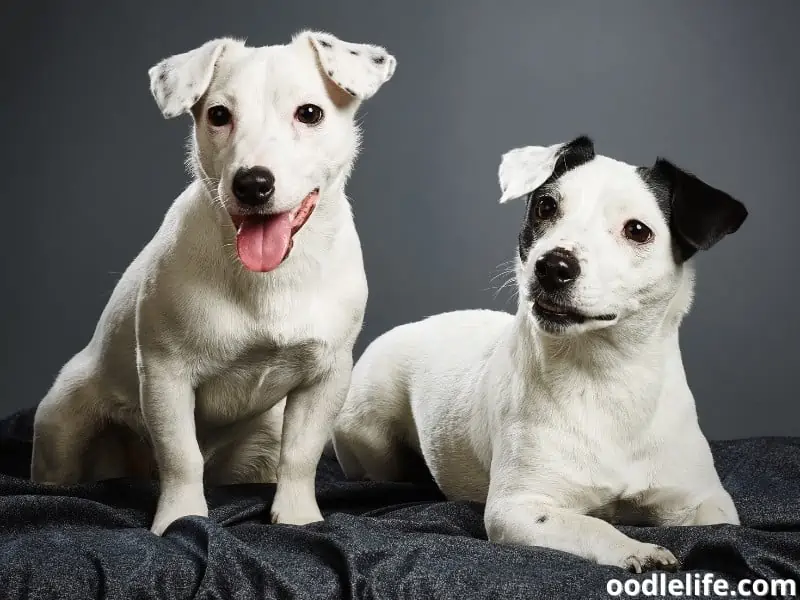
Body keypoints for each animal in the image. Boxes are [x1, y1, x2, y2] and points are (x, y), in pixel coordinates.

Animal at [32, 29, 396, 536]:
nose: (253, 183)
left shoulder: (326, 376)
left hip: (262, 441)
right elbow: (181, 456)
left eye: (310, 113)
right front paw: (181, 518)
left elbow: (301, 455)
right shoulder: (166, 375)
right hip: (62, 423)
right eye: (218, 115)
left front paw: (298, 517)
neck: (269, 276)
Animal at [334, 136, 748, 572]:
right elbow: (594, 525)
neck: (607, 376)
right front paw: (637, 550)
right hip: (372, 438)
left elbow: (721, 525)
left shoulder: (703, 500)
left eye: (637, 230)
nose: (553, 266)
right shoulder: (519, 508)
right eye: (546, 206)